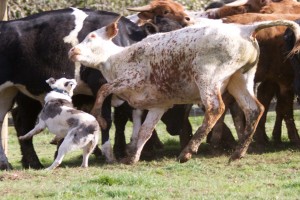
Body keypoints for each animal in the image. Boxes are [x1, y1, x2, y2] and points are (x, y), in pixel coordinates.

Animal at [68, 17, 300, 164]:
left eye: (92, 37)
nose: (72, 51)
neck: (116, 58)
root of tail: (244, 29)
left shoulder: (131, 79)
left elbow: (103, 89)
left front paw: (99, 117)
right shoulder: (158, 105)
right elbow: (145, 131)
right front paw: (132, 158)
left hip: (208, 77)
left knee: (215, 108)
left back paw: (187, 152)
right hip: (240, 79)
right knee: (254, 109)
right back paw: (237, 153)